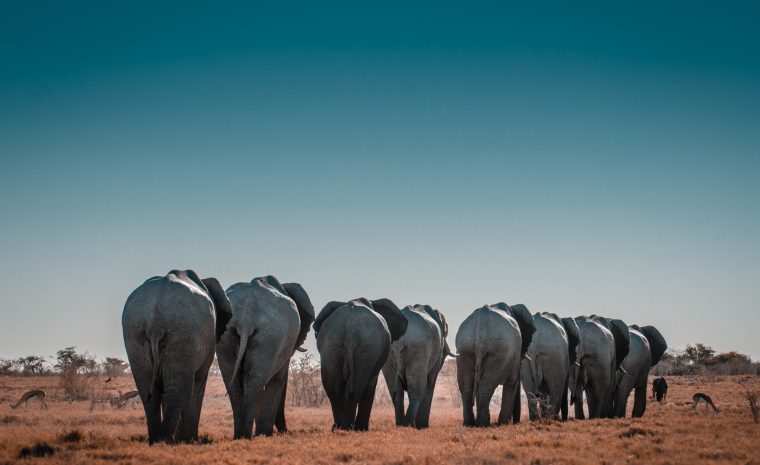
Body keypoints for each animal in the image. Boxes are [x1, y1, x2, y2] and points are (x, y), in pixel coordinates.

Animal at [122, 269, 232, 444]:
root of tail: (155, 321)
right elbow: (199, 382)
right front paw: (190, 441)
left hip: (134, 333)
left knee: (148, 391)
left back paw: (156, 440)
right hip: (184, 333)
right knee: (181, 390)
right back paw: (167, 440)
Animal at [216, 275, 314, 439]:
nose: (286, 431)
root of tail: (246, 319)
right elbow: (278, 380)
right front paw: (266, 434)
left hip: (228, 335)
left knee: (235, 384)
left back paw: (240, 436)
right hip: (271, 336)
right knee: (257, 382)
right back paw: (253, 435)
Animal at [313, 298, 408, 431]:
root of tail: (351, 334)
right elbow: (371, 385)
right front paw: (361, 429)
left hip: (331, 346)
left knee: (334, 388)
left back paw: (339, 427)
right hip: (367, 348)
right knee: (358, 387)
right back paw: (350, 428)